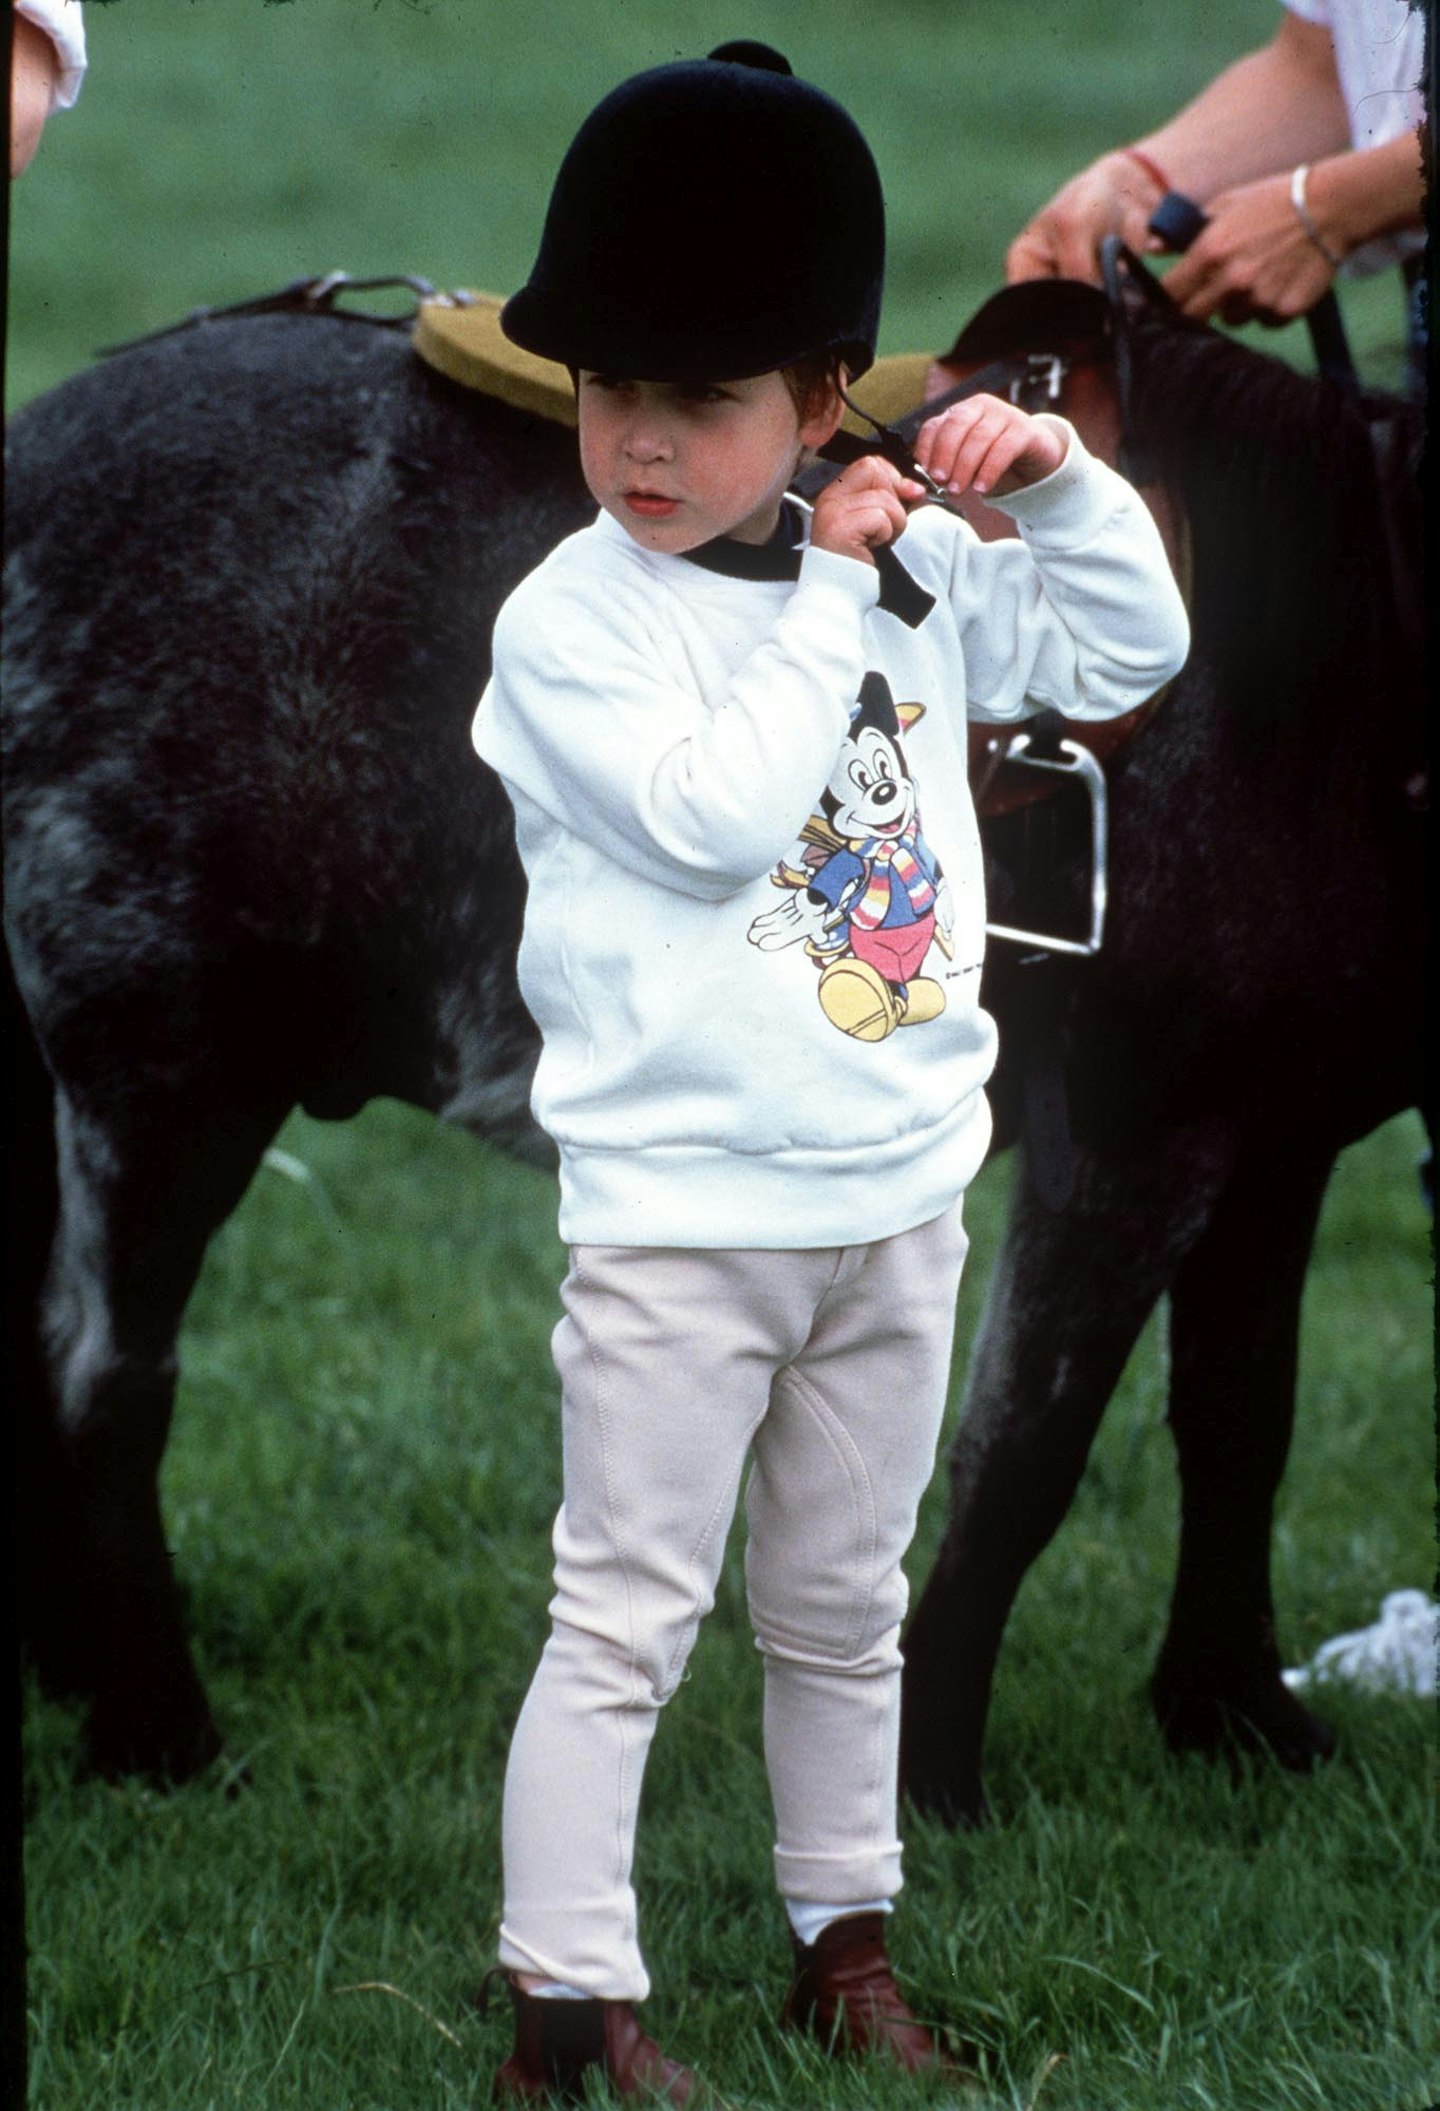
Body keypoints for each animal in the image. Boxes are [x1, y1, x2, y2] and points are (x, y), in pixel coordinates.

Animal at [0, 276, 1410, 1798]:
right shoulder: (1129, 1138)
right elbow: (1028, 1446)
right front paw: (930, 1768)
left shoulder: (1276, 1142)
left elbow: (1238, 1416)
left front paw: (1237, 1711)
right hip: (162, 1081)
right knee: (99, 1373)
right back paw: (157, 1727)